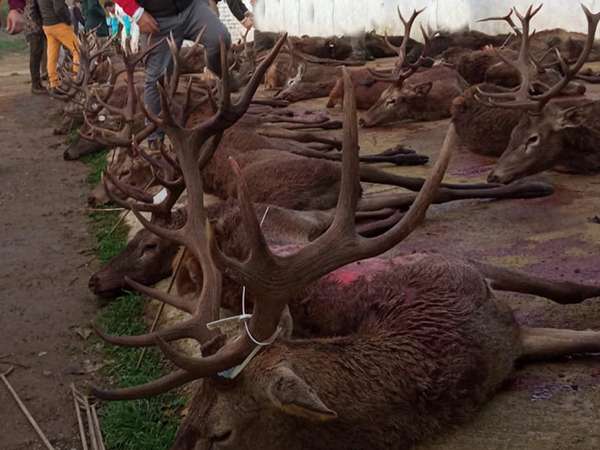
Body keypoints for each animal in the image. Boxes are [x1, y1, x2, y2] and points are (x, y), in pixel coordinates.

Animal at [90, 67, 600, 450]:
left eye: (220, 434)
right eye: (188, 413)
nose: (97, 281)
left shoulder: (462, 271)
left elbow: (565, 288)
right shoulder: (512, 339)